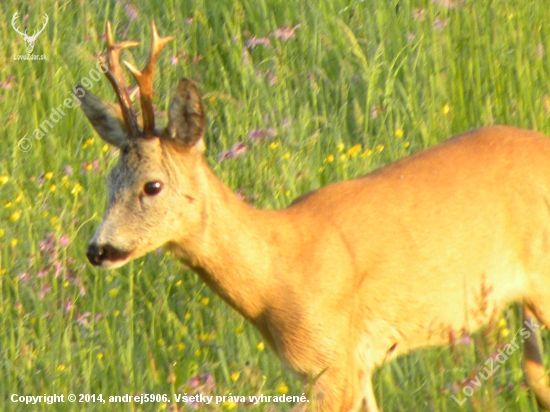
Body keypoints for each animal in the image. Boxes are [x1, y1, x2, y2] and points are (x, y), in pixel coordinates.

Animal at [78, 21, 550, 412]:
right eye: (109, 181)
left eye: (152, 185)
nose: (98, 249)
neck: (277, 273)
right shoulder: (353, 368)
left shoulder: (334, 362)